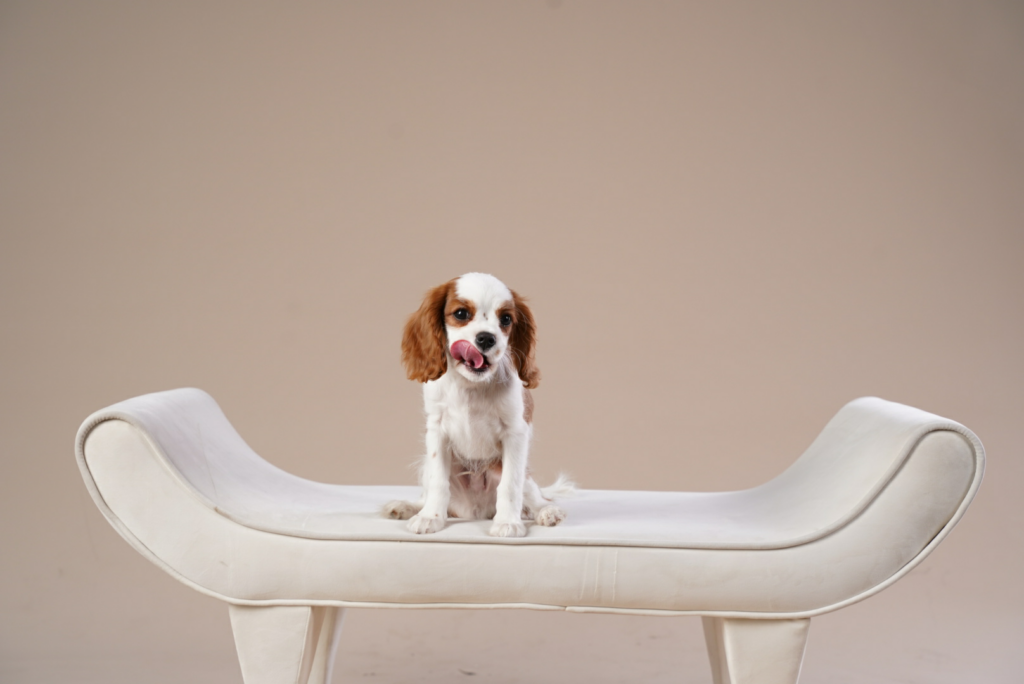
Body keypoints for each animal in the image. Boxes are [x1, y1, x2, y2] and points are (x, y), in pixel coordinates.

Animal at [383, 272, 572, 538]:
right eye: (461, 313)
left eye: (506, 319)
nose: (486, 338)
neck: (471, 386)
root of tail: (475, 512)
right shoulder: (437, 429)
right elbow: (438, 482)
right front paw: (430, 517)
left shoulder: (516, 433)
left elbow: (510, 484)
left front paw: (507, 522)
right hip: (427, 467)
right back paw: (406, 507)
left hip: (522, 477)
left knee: (535, 498)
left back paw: (547, 512)